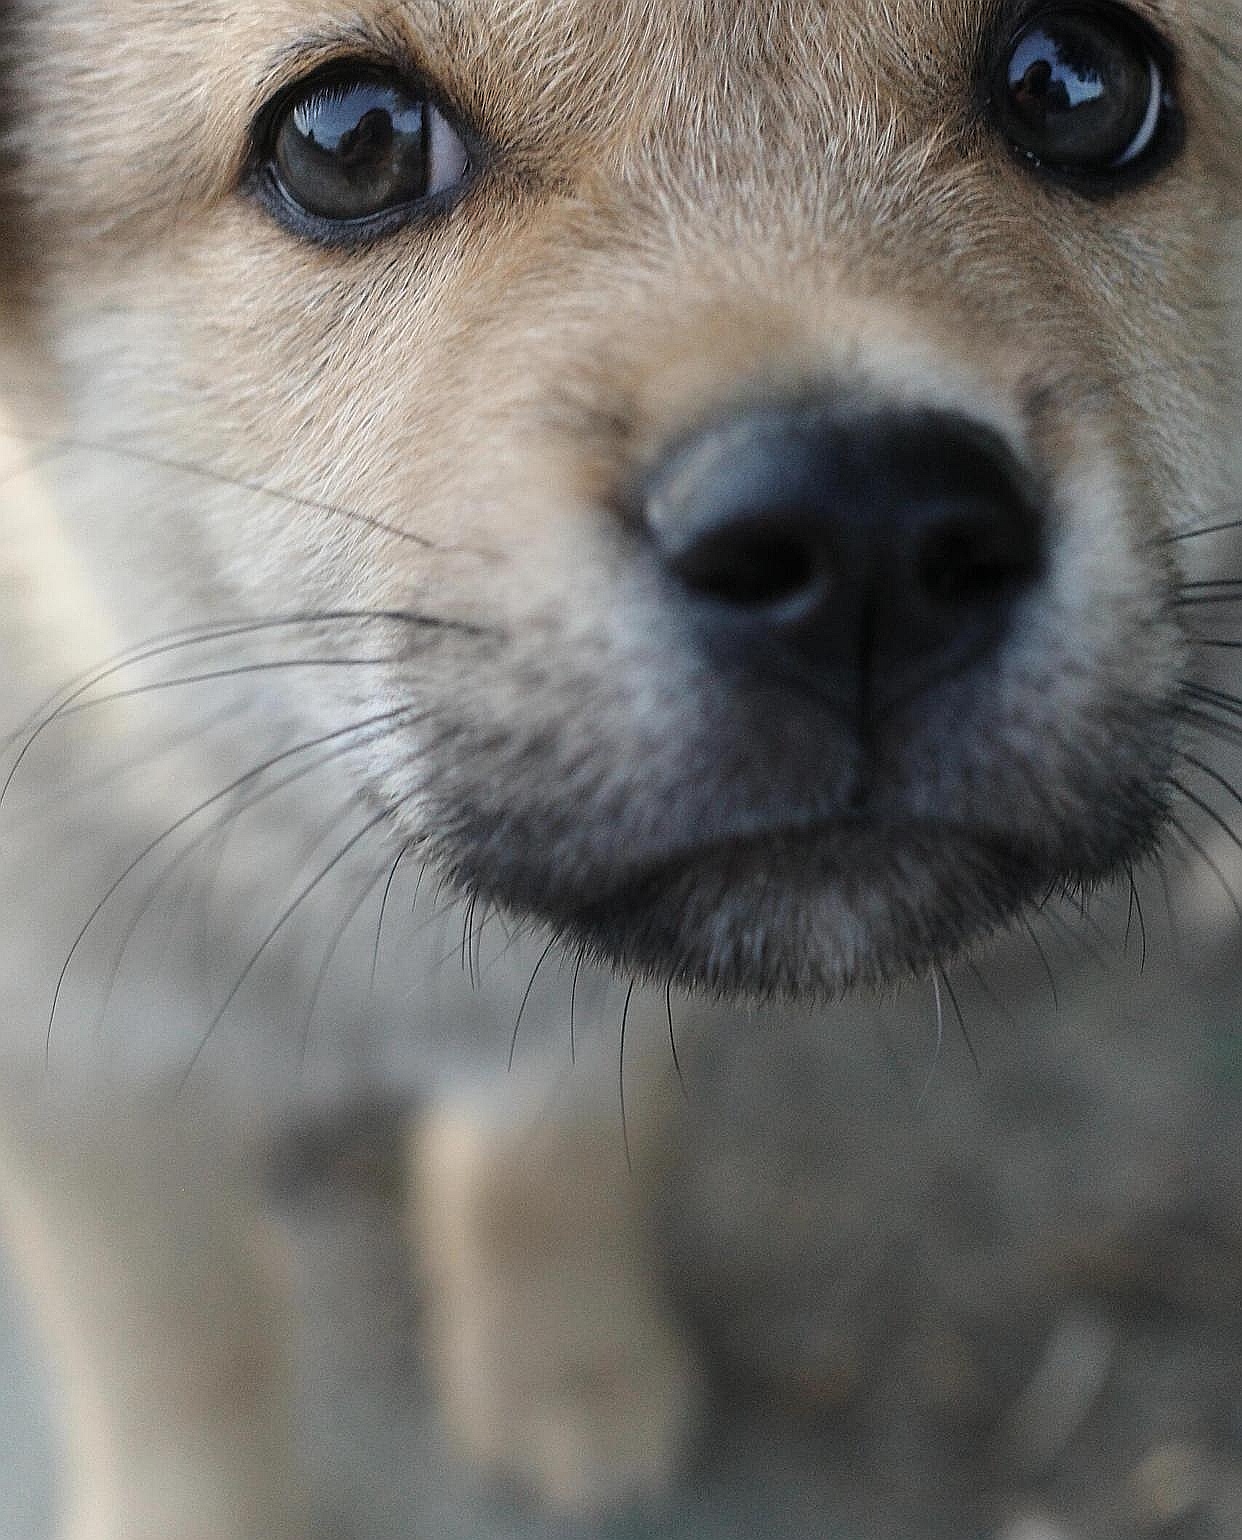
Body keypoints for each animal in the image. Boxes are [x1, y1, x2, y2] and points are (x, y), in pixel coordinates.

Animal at [0, 0, 1238, 1533]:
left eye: (1076, 83)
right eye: (347, 143)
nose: (868, 547)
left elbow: (544, 1149)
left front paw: (562, 1365)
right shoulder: (74, 1066)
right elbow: (177, 1342)